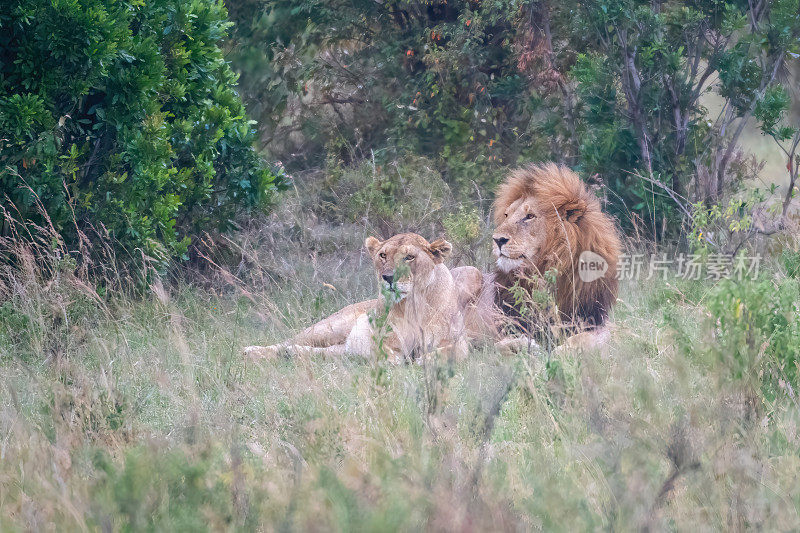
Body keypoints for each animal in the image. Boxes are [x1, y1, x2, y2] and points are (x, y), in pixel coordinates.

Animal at [244, 233, 482, 362]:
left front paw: (423, 360)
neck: (413, 304)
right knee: (287, 342)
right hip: (328, 328)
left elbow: (449, 353)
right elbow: (383, 350)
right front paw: (396, 360)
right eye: (383, 255)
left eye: (409, 257)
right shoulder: (374, 333)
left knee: (321, 352)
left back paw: (292, 354)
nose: (388, 277)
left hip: (336, 350)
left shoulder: (458, 342)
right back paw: (253, 351)